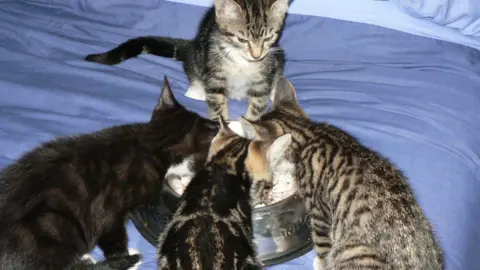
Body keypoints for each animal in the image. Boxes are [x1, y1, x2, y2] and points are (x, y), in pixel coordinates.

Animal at [85, 0, 288, 121]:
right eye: (242, 40)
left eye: (269, 38)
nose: (257, 55)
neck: (242, 61)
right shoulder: (214, 69)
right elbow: (216, 100)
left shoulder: (265, 70)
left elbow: (258, 101)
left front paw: (250, 124)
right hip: (198, 55)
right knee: (192, 68)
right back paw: (196, 90)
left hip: (279, 58)